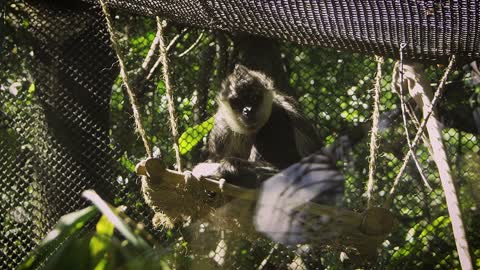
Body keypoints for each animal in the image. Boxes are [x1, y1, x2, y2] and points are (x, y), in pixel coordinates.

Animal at [191, 64, 322, 187]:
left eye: (254, 98)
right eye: (237, 102)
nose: (247, 110)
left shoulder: (276, 115)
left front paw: (226, 169)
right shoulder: (222, 123)